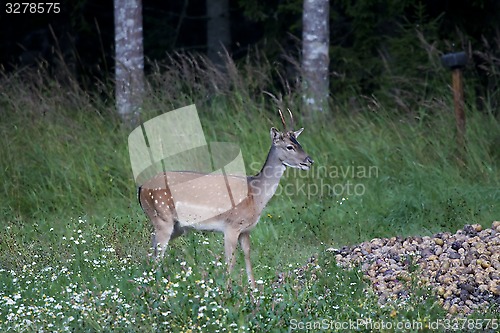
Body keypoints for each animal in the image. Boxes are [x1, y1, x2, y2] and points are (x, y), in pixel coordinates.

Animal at [137, 109, 314, 288]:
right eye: (289, 146)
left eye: (299, 143)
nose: (309, 161)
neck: (256, 196)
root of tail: (141, 188)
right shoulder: (231, 226)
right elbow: (231, 261)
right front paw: (227, 290)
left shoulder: (246, 229)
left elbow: (248, 256)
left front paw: (253, 289)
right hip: (161, 216)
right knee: (158, 253)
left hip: (177, 226)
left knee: (152, 247)